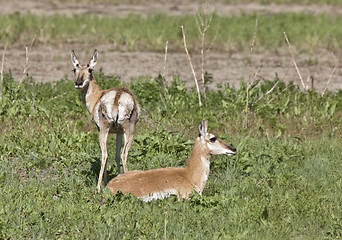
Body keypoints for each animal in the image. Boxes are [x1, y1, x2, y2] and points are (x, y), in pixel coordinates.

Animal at [71, 49, 140, 192]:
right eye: (75, 69)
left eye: (90, 69)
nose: (78, 83)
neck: (98, 96)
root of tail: (118, 96)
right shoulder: (119, 133)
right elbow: (116, 156)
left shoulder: (101, 129)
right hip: (128, 131)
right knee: (123, 155)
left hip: (104, 130)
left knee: (105, 155)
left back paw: (98, 188)